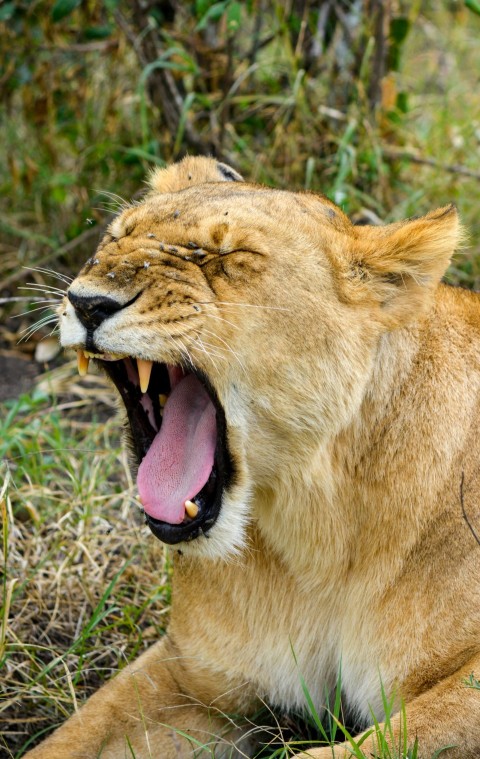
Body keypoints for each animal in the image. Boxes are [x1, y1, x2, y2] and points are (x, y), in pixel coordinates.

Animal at [26, 156, 480, 758]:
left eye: (226, 256)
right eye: (116, 237)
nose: (87, 302)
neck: (315, 537)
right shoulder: (193, 679)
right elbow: (70, 737)